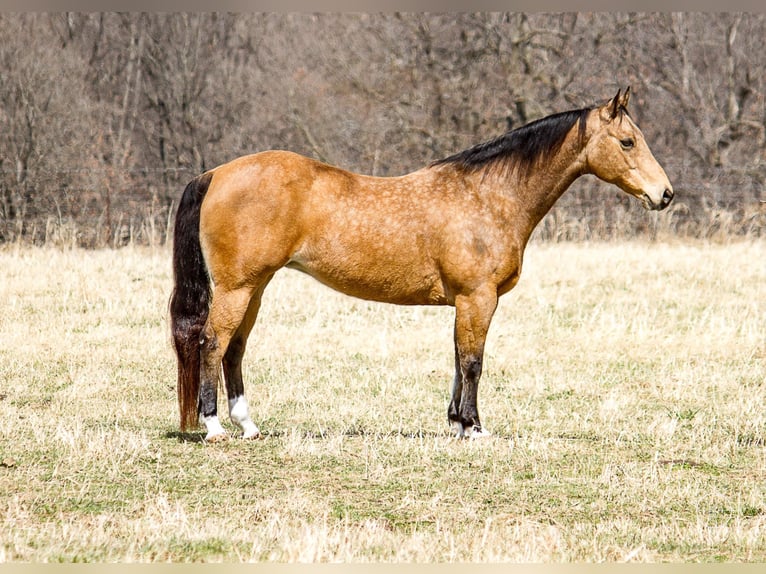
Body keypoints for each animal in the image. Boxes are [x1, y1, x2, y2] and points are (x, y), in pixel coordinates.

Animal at [171, 88, 676, 444]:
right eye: (628, 141)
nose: (665, 194)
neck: (487, 196)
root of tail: (215, 173)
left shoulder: (465, 303)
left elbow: (456, 359)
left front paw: (456, 422)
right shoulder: (477, 297)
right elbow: (473, 362)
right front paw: (475, 428)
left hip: (254, 288)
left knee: (235, 348)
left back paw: (248, 424)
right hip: (238, 288)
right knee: (212, 342)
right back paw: (214, 427)